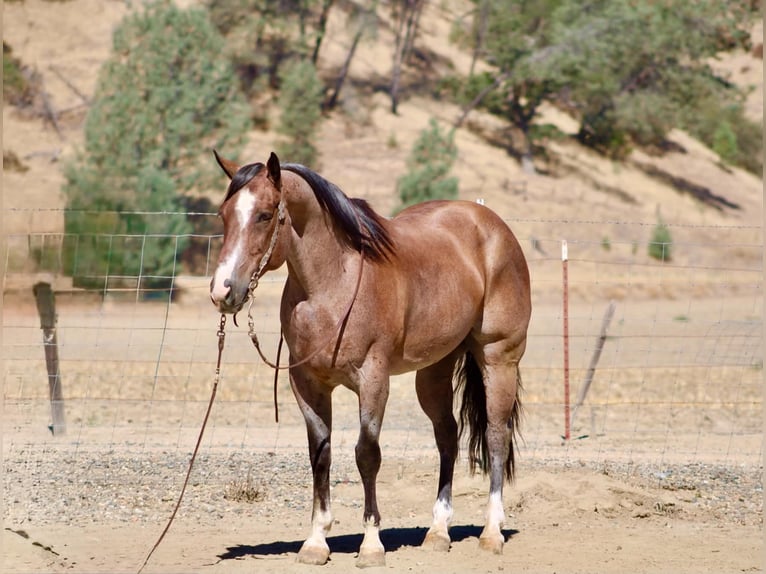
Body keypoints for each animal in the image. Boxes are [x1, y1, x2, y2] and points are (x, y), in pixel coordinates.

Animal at [209, 151, 531, 567]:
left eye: (264, 215)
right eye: (224, 214)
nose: (222, 291)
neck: (333, 284)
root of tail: (492, 224)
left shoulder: (373, 380)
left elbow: (367, 455)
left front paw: (371, 544)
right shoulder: (308, 384)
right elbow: (321, 453)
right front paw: (316, 542)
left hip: (499, 359)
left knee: (495, 434)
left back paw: (492, 533)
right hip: (434, 370)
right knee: (448, 435)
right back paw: (438, 532)